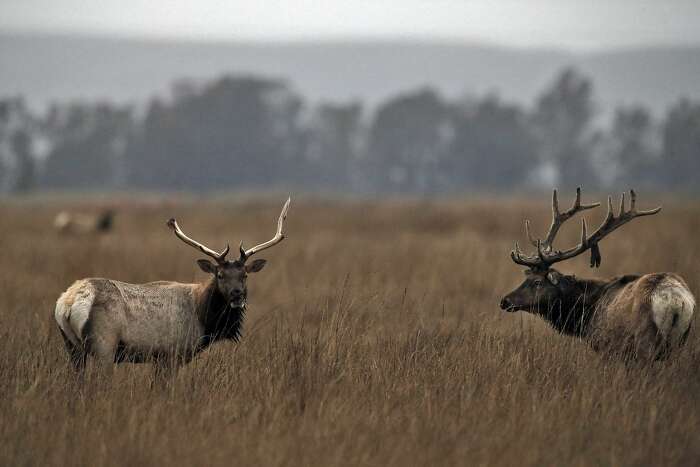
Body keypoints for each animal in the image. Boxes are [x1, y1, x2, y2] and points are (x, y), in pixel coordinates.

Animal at [54, 199, 290, 374]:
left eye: (244, 275)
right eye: (220, 275)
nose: (237, 295)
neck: (203, 318)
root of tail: (68, 303)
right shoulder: (171, 354)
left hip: (72, 347)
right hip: (104, 345)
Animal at [500, 188, 692, 360]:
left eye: (537, 282)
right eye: (526, 278)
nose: (505, 301)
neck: (585, 317)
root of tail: (675, 300)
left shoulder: (607, 345)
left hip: (645, 342)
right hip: (678, 342)